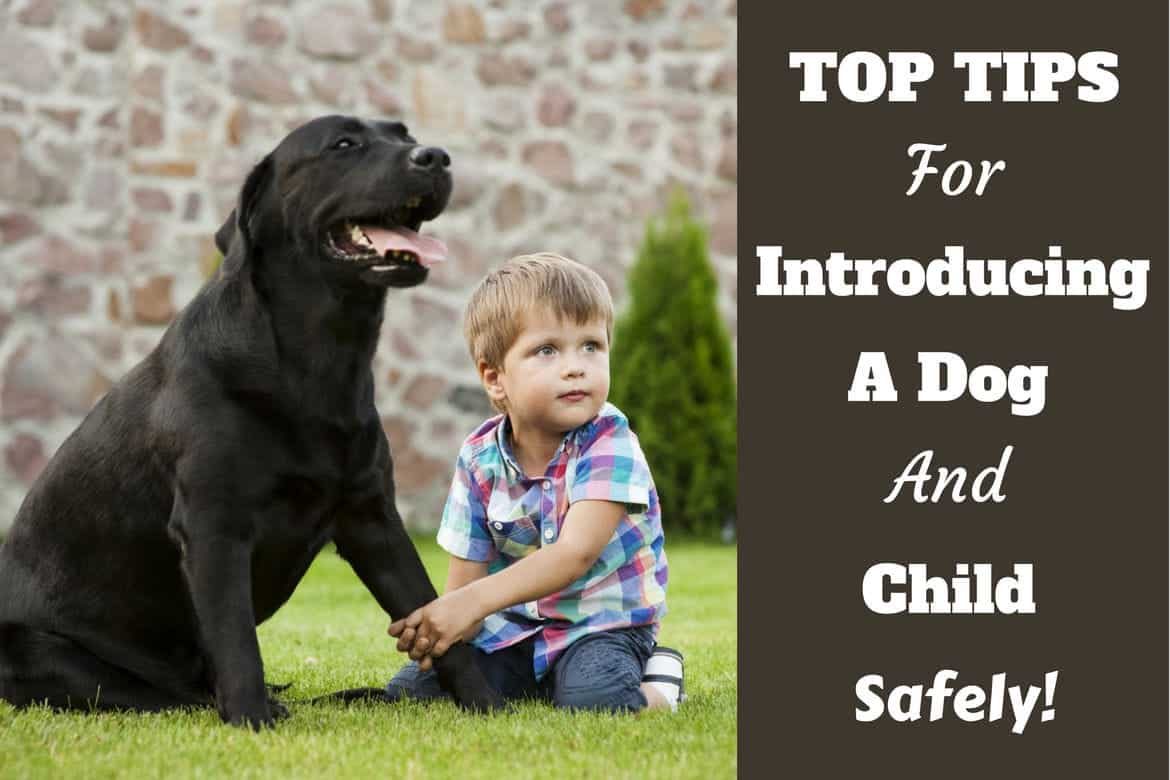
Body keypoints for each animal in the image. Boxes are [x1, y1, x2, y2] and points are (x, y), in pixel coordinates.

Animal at [0, 117, 498, 734]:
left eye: (404, 134)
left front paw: (486, 703)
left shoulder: (372, 518)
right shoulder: (215, 524)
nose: (435, 157)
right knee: (163, 695)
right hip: (43, 651)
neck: (320, 358)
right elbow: (236, 640)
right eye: (343, 144)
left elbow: (433, 614)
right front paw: (251, 716)